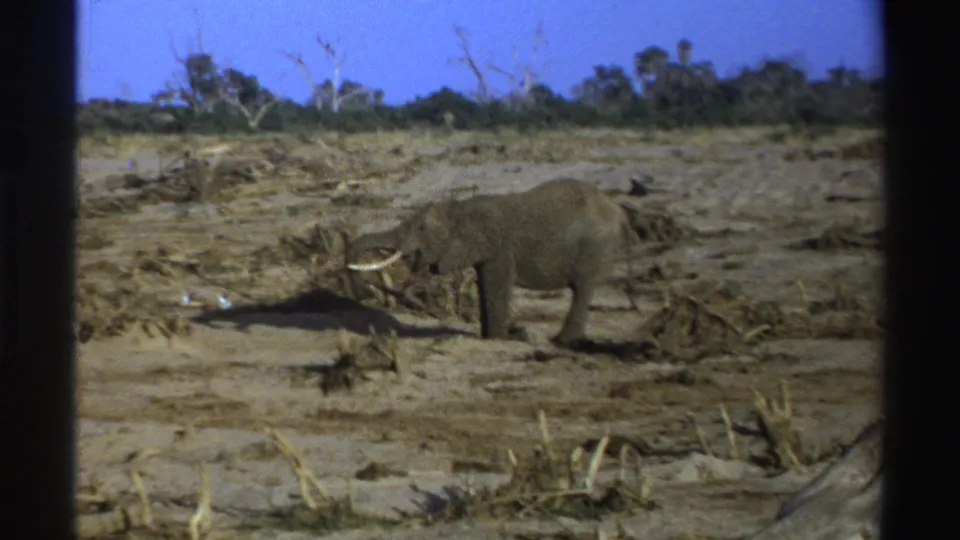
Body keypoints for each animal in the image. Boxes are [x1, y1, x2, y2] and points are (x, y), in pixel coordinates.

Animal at [345, 178, 640, 347]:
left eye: (421, 228)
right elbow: (484, 286)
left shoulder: (500, 248)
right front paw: (492, 337)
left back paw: (561, 341)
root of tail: (620, 212)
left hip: (595, 246)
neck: (462, 208)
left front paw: (505, 338)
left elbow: (496, 285)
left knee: (582, 288)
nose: (360, 289)